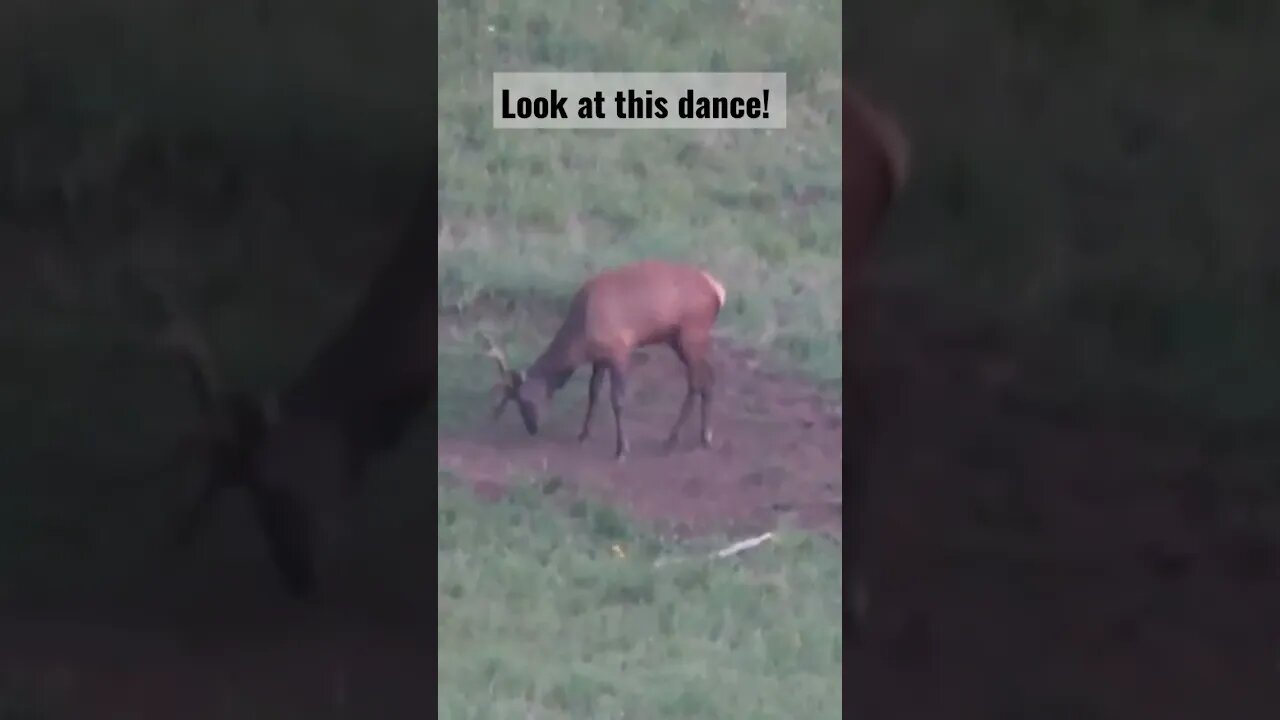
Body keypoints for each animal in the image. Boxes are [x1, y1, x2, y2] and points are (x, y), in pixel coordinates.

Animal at [481, 257, 727, 458]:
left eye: (525, 400)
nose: (532, 427)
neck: (579, 337)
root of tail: (718, 290)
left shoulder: (620, 352)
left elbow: (617, 400)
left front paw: (621, 448)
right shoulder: (599, 360)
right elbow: (593, 393)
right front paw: (583, 434)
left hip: (692, 334)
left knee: (698, 379)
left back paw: (674, 439)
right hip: (677, 339)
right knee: (705, 378)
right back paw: (704, 437)